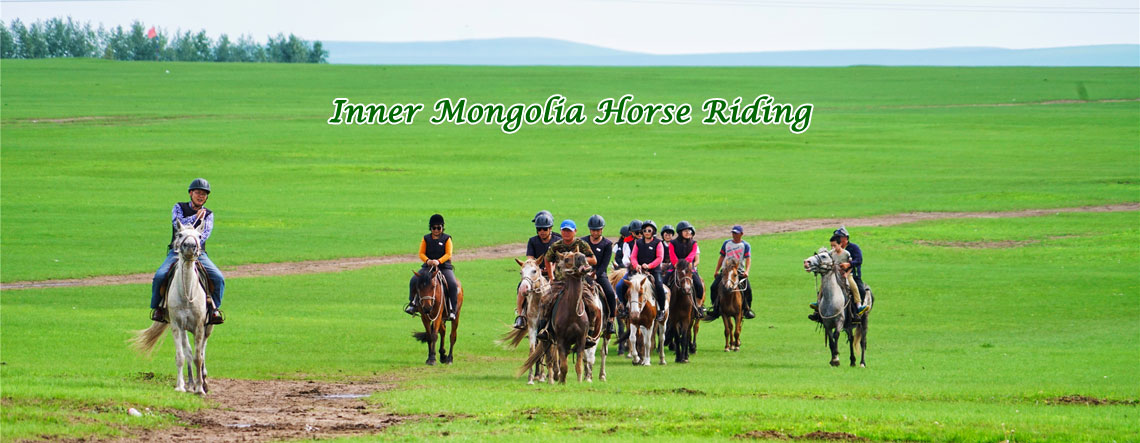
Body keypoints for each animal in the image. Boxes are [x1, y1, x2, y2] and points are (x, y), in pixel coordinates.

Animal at [132, 220, 214, 394]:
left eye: (199, 236)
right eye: (180, 234)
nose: (190, 246)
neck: (187, 294)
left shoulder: (199, 326)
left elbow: (199, 357)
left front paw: (200, 389)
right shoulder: (176, 325)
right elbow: (181, 356)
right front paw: (181, 386)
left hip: (208, 327)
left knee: (202, 351)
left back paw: (203, 381)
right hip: (184, 329)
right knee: (188, 352)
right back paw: (190, 383)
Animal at [519, 251, 592, 382]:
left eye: (534, 271)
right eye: (521, 272)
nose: (524, 288)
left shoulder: (581, 339)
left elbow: (578, 365)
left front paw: (578, 381)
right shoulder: (554, 336)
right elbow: (539, 353)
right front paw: (533, 378)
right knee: (547, 355)